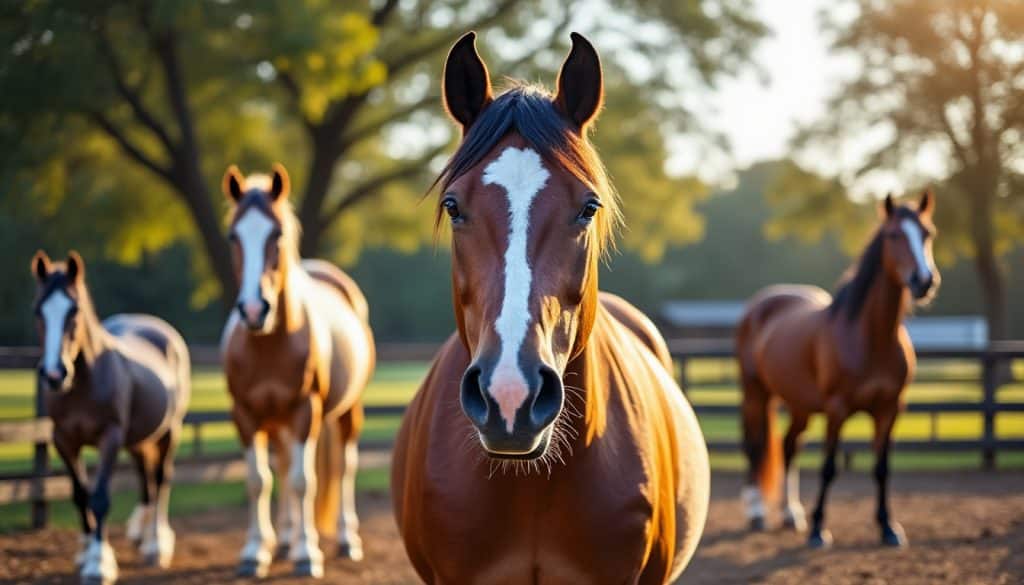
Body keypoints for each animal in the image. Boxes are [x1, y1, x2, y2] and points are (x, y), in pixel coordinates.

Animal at [31, 250, 190, 584]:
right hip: (140, 441)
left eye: (74, 310)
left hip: (170, 431)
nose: (54, 374)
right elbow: (80, 495)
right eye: (38, 310)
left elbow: (100, 497)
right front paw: (84, 554)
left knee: (162, 479)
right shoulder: (63, 440)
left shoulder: (110, 437)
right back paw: (141, 536)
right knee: (147, 481)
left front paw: (99, 563)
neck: (83, 384)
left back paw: (156, 545)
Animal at [220, 163, 375, 578]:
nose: (254, 310)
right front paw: (254, 552)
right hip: (277, 424)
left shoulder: (306, 411)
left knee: (344, 467)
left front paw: (307, 554)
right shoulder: (245, 415)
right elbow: (258, 481)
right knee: (284, 467)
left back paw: (346, 540)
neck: (269, 345)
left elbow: (304, 481)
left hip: (345, 413)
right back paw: (285, 539)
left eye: (277, 234)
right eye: (233, 236)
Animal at [736, 191, 940, 549]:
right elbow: (829, 467)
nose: (924, 281)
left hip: (799, 405)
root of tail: (758, 307)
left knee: (789, 447)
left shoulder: (890, 409)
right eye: (893, 235)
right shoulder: (837, 408)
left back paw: (791, 514)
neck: (870, 337)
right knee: (755, 447)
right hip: (755, 394)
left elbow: (881, 468)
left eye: (927, 233)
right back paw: (757, 513)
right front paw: (819, 529)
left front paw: (888, 527)